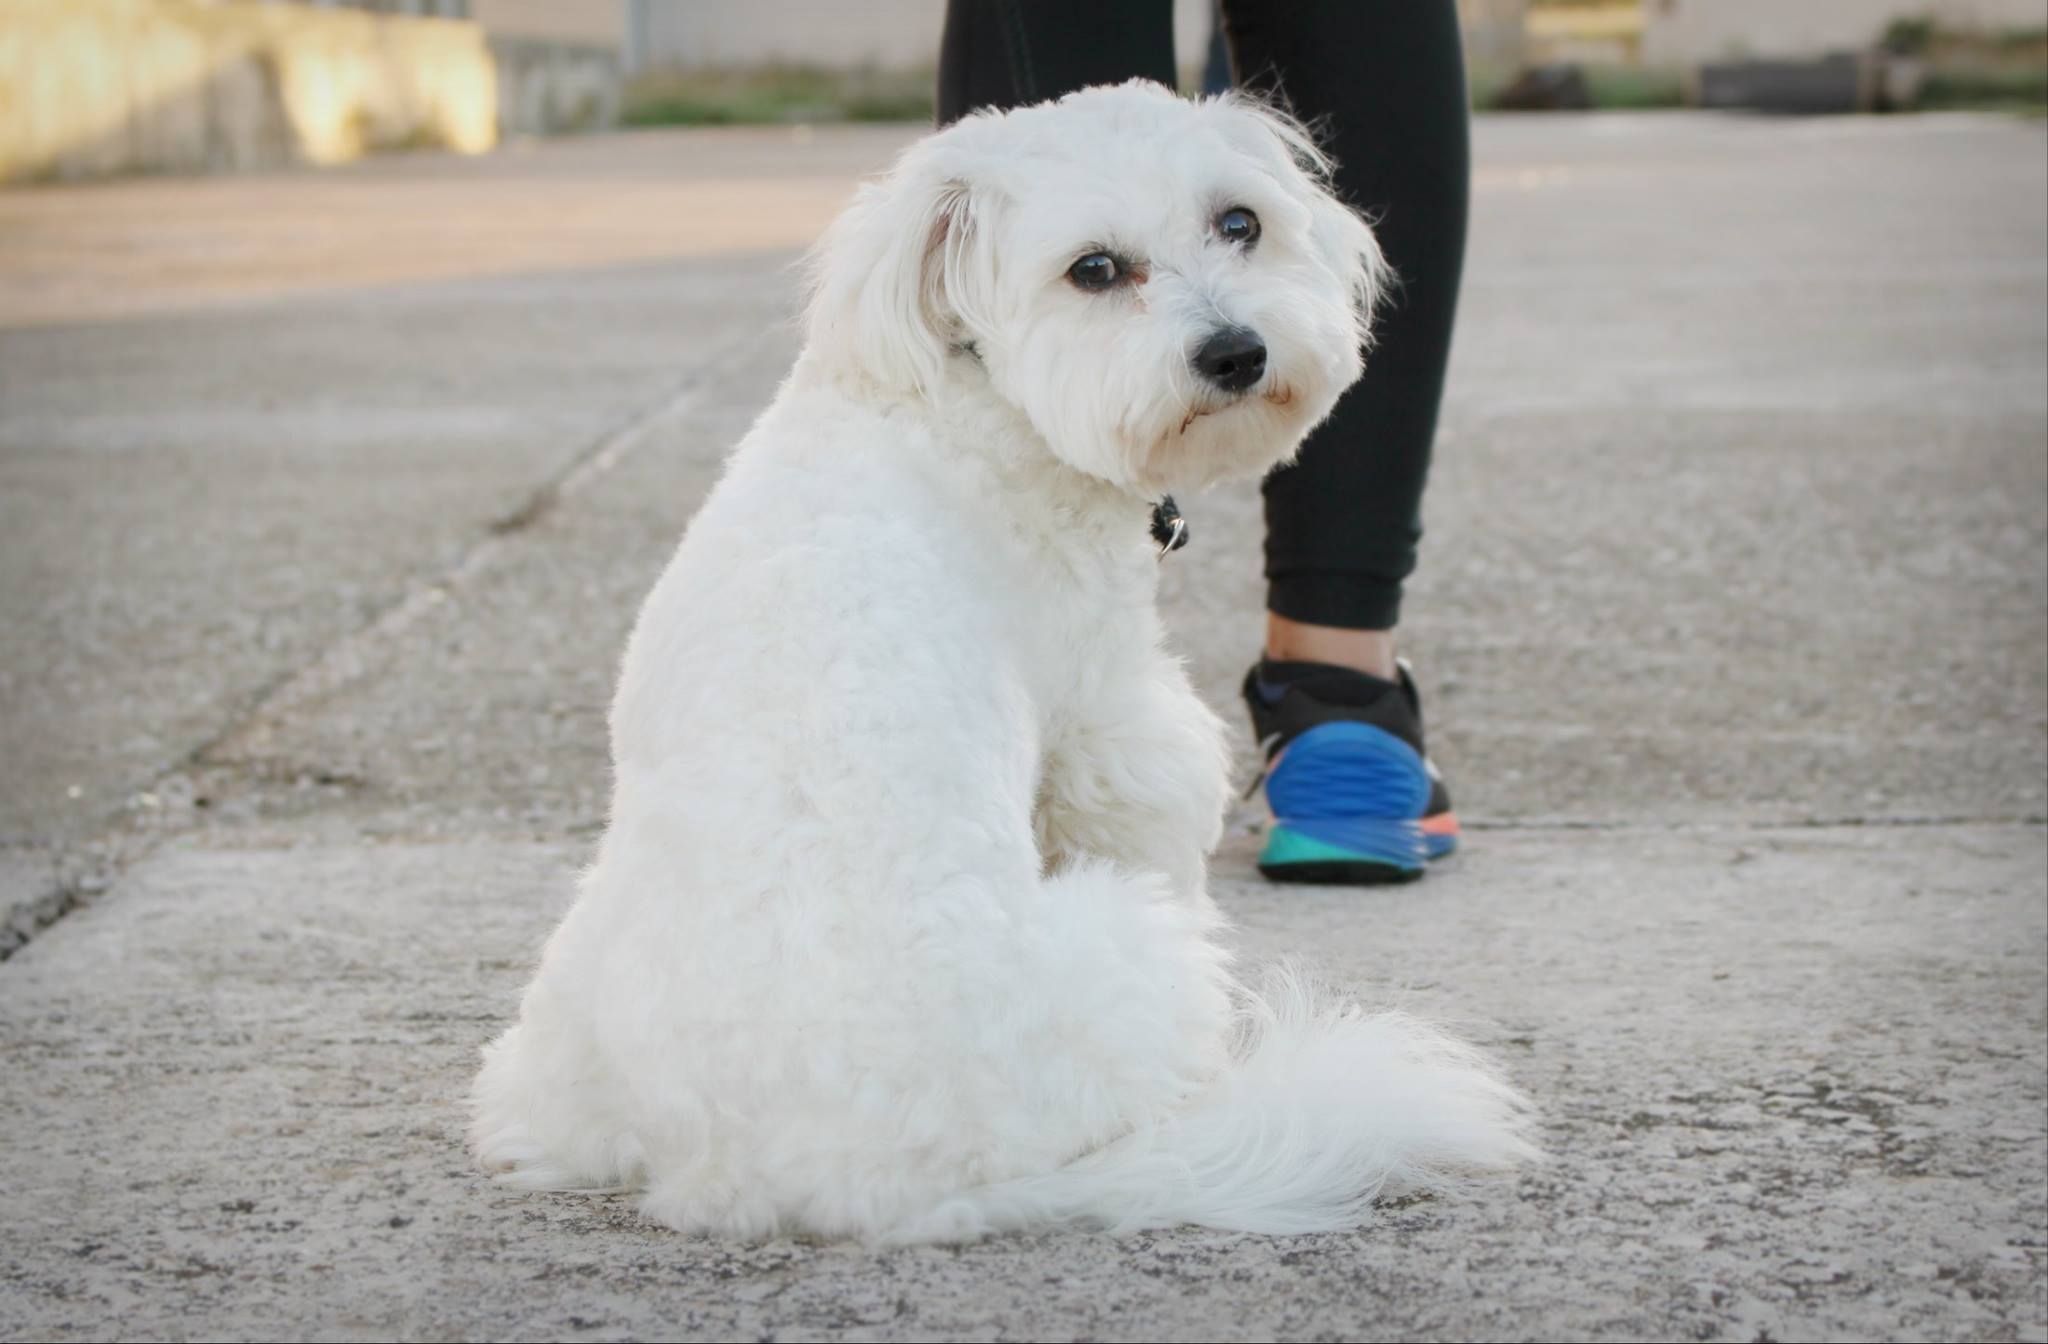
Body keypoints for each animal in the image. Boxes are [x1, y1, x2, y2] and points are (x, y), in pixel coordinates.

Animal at [470, 80, 1535, 1242]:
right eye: (1094, 270)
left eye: (1239, 222)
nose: (1236, 352)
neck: (965, 394)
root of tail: (873, 1188)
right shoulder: (1113, 733)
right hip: (1136, 946)